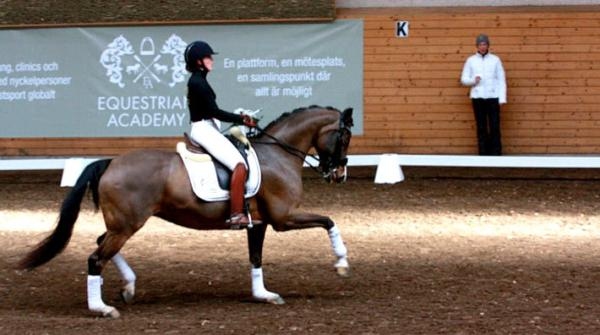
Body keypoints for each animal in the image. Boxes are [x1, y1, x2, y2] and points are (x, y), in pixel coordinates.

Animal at [18, 106, 354, 318]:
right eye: (344, 137)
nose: (338, 174)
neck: (278, 155)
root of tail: (111, 162)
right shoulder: (284, 219)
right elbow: (329, 221)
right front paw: (341, 263)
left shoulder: (258, 223)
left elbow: (256, 258)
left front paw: (264, 295)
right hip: (127, 225)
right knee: (95, 258)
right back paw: (102, 308)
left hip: (121, 224)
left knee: (102, 247)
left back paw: (127, 287)